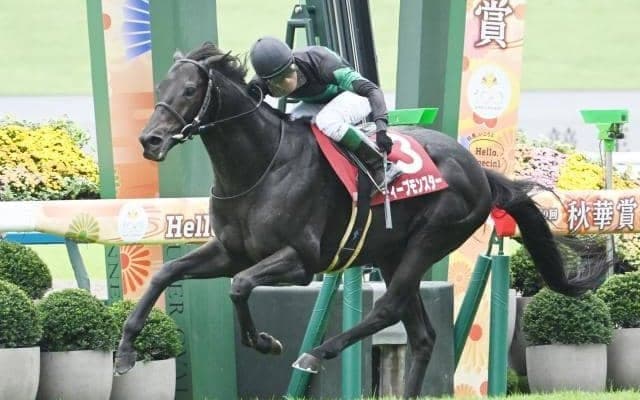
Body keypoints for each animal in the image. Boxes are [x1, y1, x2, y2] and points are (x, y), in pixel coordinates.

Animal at [116, 42, 607, 398]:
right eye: (160, 86)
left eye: (190, 91)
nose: (150, 140)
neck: (260, 167)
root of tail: (479, 170)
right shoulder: (230, 251)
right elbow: (165, 274)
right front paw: (123, 353)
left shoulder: (301, 261)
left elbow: (239, 287)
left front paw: (267, 342)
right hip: (392, 253)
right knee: (422, 336)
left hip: (431, 239)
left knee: (387, 308)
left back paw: (316, 353)